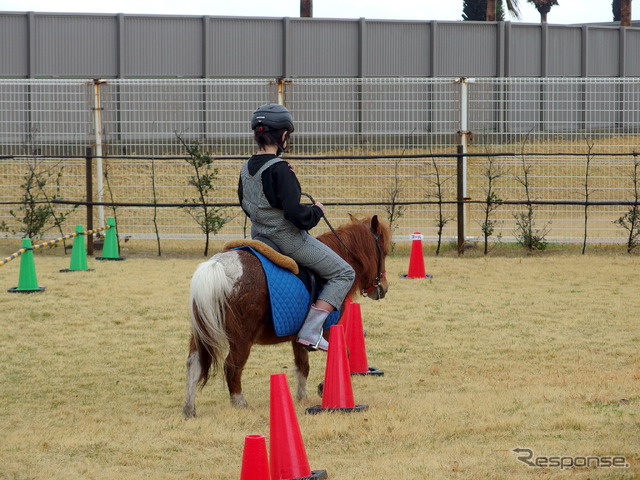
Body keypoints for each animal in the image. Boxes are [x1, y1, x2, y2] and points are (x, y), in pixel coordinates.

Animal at [180, 214, 390, 416]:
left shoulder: (298, 336)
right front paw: (324, 387)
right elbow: (342, 354)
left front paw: (302, 397)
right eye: (384, 252)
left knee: (194, 363)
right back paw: (240, 403)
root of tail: (218, 266)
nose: (383, 288)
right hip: (242, 337)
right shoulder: (329, 329)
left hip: (201, 332)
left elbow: (302, 366)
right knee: (232, 366)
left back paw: (189, 409)